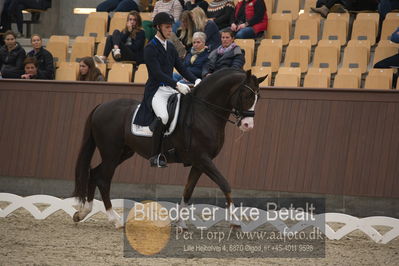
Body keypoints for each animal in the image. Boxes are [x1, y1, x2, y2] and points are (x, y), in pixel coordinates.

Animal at [73, 67, 268, 228]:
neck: (204, 112)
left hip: (123, 153)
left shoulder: (199, 163)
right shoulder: (202, 158)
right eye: (246, 95)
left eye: (258, 97)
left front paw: (181, 223)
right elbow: (224, 183)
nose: (248, 125)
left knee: (95, 173)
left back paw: (83, 213)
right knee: (103, 179)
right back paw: (115, 220)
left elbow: (188, 191)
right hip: (111, 153)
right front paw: (235, 222)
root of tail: (101, 106)